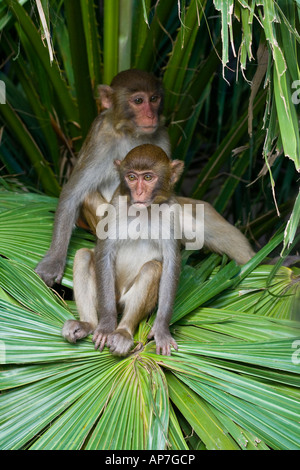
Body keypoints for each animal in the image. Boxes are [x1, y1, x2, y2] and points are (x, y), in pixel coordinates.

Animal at [35, 67, 255, 286]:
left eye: (154, 98)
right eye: (139, 101)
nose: (151, 116)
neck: (131, 132)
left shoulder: (162, 136)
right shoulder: (101, 138)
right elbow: (74, 193)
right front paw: (53, 262)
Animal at [62, 144, 185, 356]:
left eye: (148, 177)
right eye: (132, 177)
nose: (139, 193)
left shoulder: (172, 212)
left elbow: (171, 263)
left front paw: (161, 329)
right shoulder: (115, 205)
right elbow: (104, 252)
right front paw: (105, 326)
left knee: (152, 269)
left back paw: (123, 332)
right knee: (84, 255)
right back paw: (89, 324)